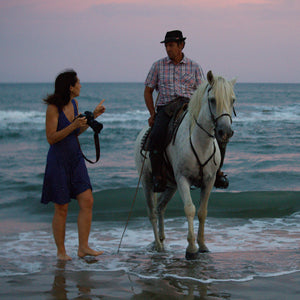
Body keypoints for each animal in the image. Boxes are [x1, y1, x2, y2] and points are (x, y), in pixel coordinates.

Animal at [135, 71, 236, 260]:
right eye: (212, 100)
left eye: (232, 100)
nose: (225, 132)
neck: (200, 143)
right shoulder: (183, 179)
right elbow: (190, 209)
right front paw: (191, 249)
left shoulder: (209, 181)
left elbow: (202, 211)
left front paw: (202, 245)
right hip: (147, 182)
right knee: (152, 212)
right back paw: (158, 245)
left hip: (170, 185)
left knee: (160, 208)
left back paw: (162, 240)